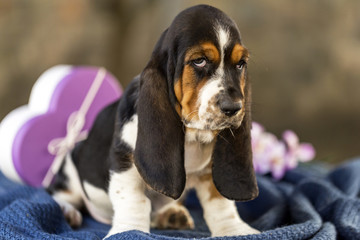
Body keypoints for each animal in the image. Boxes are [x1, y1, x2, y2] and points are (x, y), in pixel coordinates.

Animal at [49, 3, 260, 238]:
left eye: (240, 64)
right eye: (199, 61)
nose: (233, 107)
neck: (192, 136)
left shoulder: (212, 169)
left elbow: (220, 202)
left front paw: (235, 230)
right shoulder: (124, 160)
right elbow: (134, 200)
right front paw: (129, 229)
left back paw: (171, 214)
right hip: (70, 170)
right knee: (61, 194)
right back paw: (67, 212)